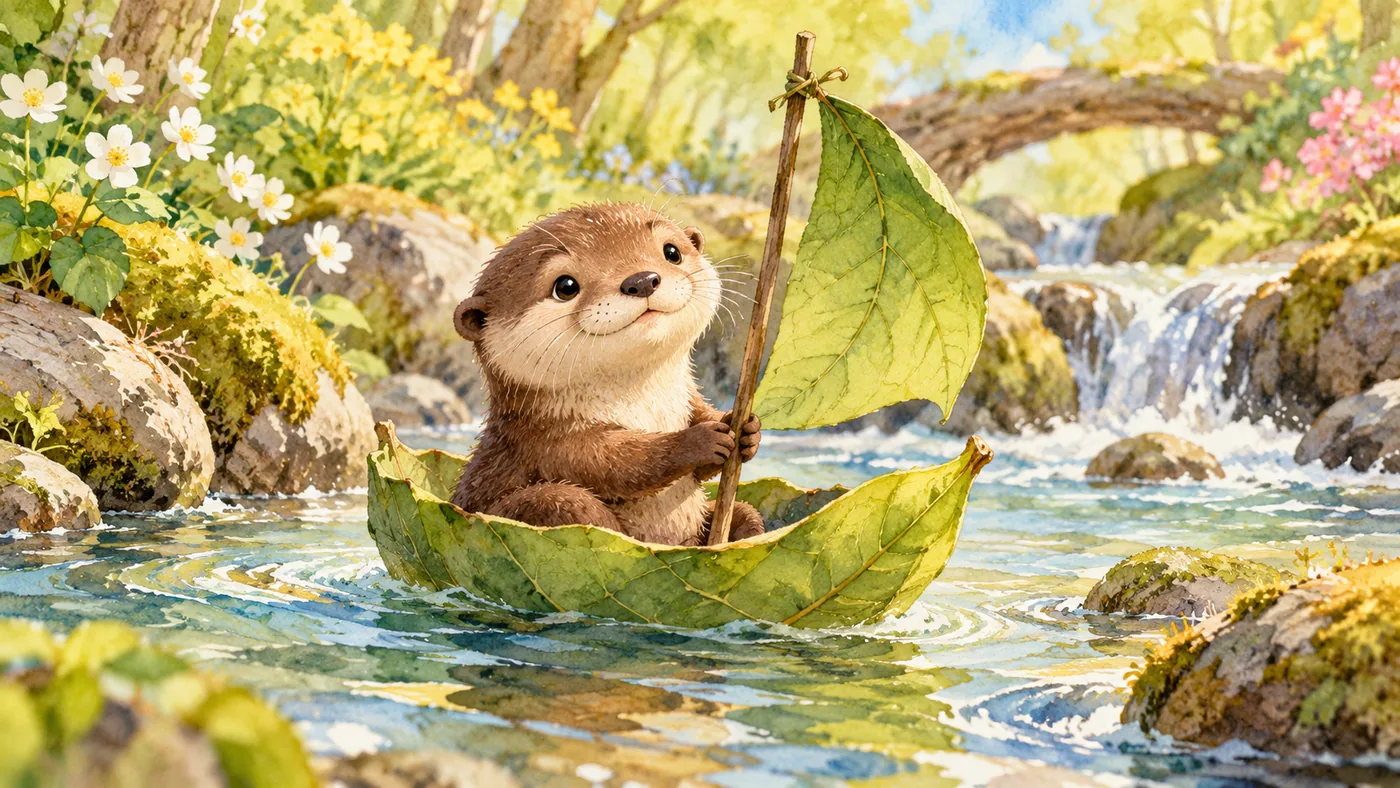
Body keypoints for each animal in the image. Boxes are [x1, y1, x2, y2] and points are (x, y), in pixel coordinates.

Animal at [449, 202, 767, 546]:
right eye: (565, 287)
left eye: (672, 252)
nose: (642, 280)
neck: (644, 405)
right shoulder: (545, 439)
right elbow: (616, 463)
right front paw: (697, 441)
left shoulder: (685, 399)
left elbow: (702, 425)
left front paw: (743, 428)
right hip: (545, 506)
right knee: (566, 503)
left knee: (748, 514)